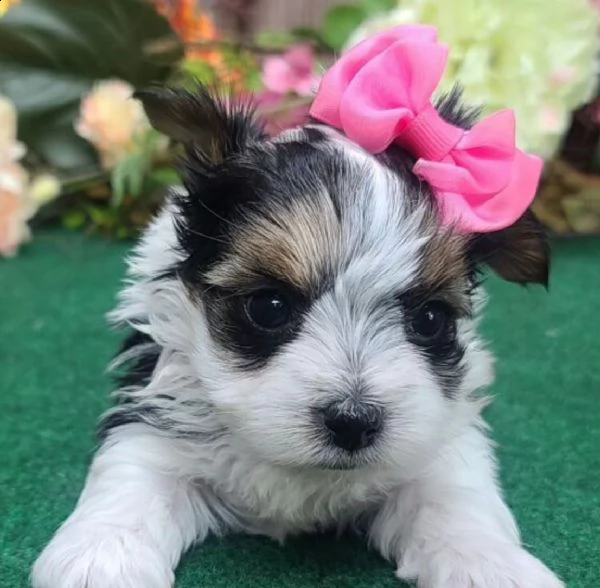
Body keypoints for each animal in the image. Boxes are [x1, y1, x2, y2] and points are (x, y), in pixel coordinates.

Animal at [31, 84, 564, 588]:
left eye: (431, 320)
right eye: (269, 307)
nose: (353, 421)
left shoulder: (441, 437)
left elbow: (454, 497)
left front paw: (490, 564)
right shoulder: (155, 412)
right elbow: (132, 476)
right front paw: (101, 557)